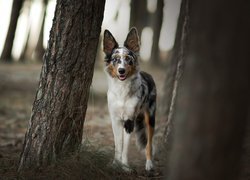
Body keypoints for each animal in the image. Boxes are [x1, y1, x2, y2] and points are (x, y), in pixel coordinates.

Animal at [102, 27, 155, 171]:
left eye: (128, 58)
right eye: (115, 59)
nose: (121, 70)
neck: (122, 90)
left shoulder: (129, 120)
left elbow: (125, 147)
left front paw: (125, 166)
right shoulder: (115, 120)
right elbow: (118, 144)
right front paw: (115, 163)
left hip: (150, 118)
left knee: (149, 143)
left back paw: (149, 164)